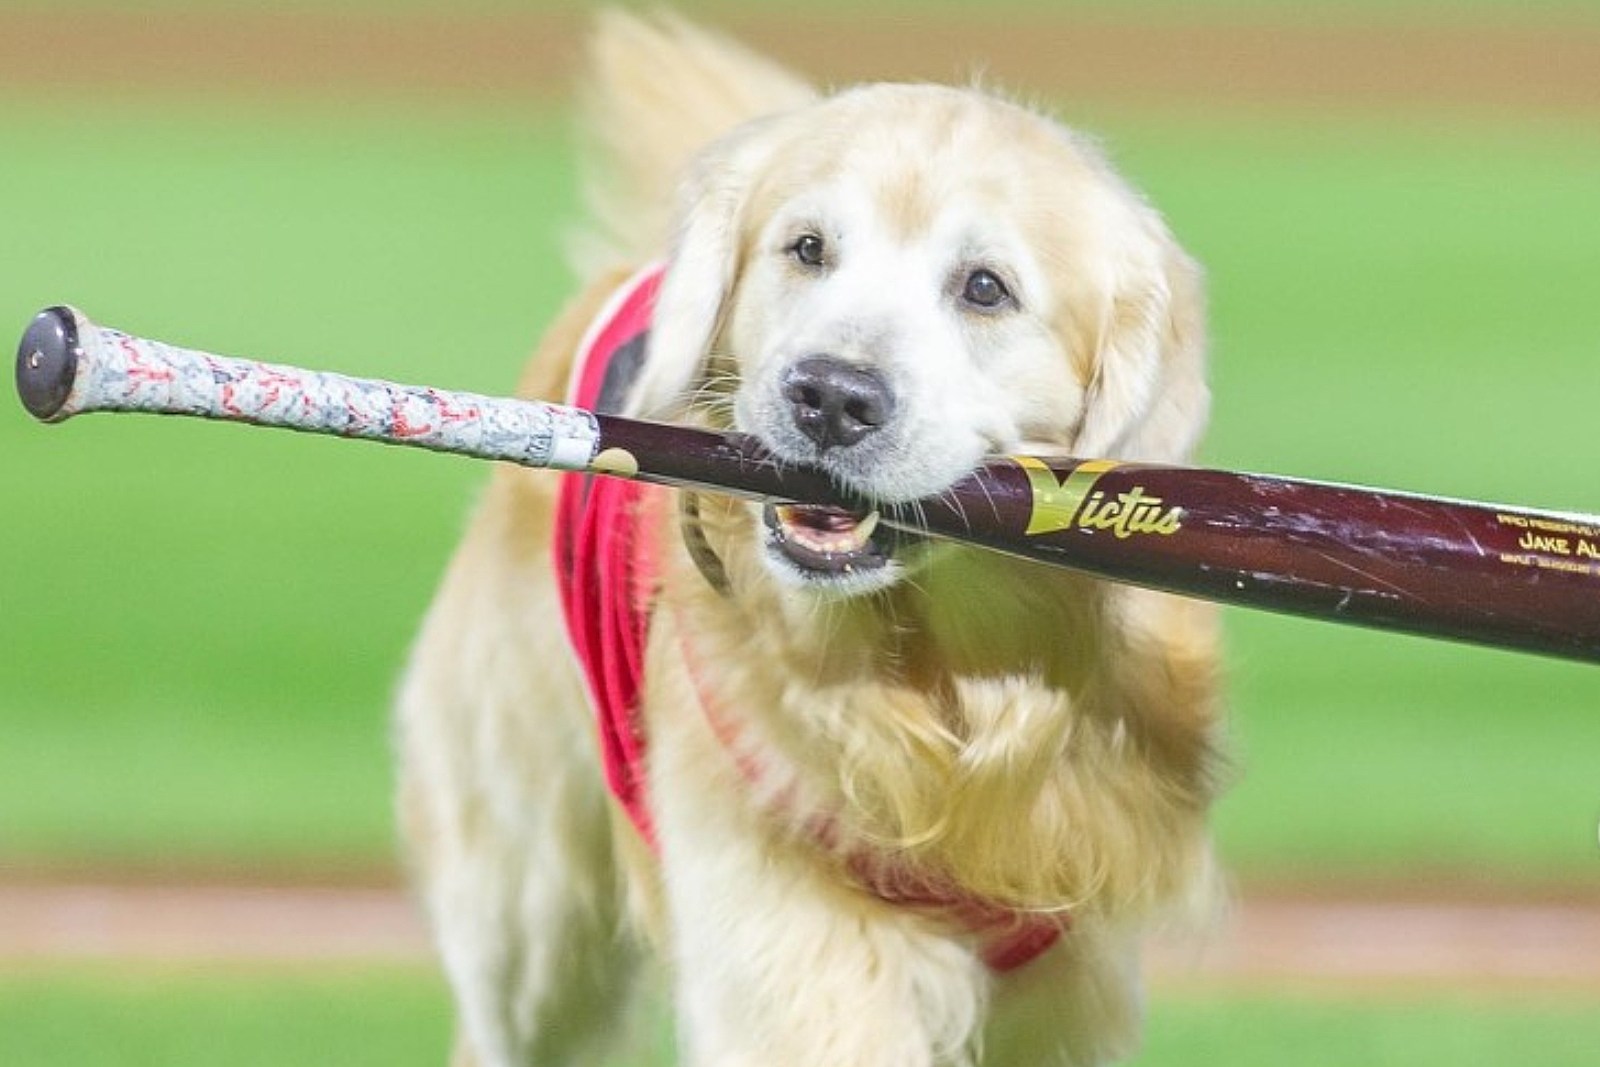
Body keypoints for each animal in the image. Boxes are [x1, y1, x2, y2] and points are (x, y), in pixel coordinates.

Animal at [400, 10, 1222, 1067]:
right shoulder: (794, 958)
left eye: (985, 288)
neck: (936, 686)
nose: (831, 396)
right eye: (807, 248)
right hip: (532, 912)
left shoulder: (1067, 990)